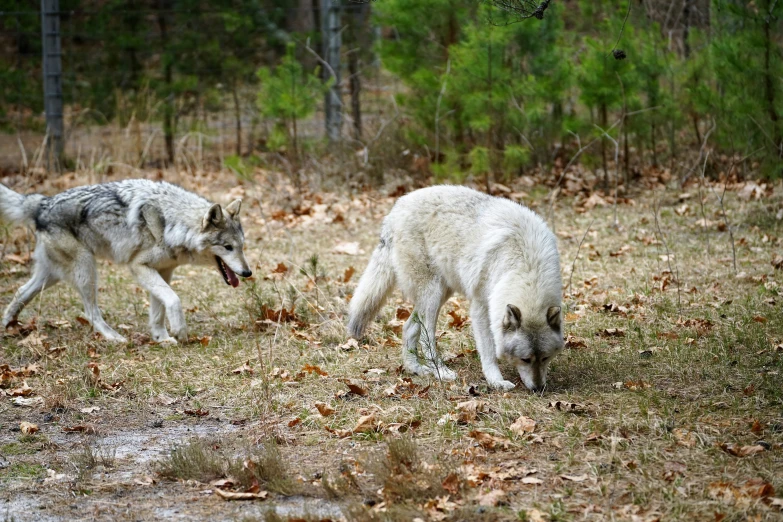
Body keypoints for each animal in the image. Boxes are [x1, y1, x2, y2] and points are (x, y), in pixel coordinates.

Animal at [0, 177, 251, 344]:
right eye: (228, 247)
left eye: (242, 247)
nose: (248, 273)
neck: (171, 223)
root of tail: (42, 202)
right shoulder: (138, 267)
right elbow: (174, 300)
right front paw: (179, 331)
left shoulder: (163, 271)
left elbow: (159, 310)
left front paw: (161, 338)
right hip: (86, 270)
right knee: (91, 312)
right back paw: (115, 338)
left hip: (51, 276)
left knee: (20, 292)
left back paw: (7, 326)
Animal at [350, 184, 564, 390]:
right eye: (525, 359)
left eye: (545, 358)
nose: (538, 388)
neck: (527, 268)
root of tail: (395, 210)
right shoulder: (480, 307)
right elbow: (488, 352)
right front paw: (496, 382)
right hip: (433, 295)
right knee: (426, 339)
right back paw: (441, 372)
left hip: (440, 293)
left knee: (408, 328)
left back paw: (416, 369)